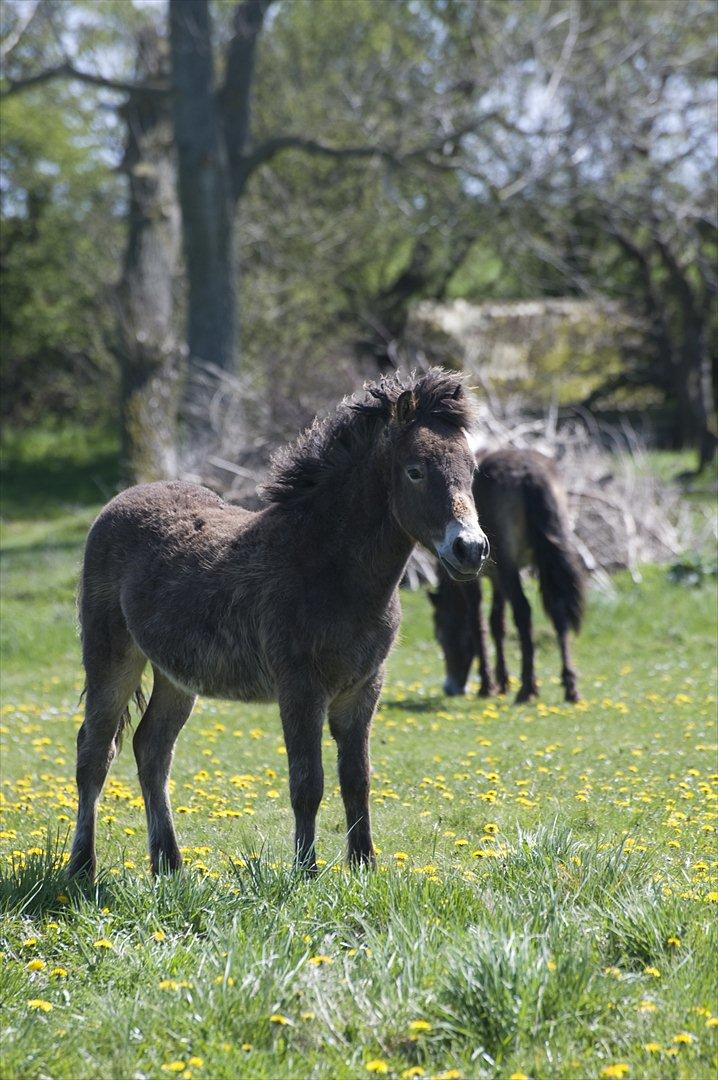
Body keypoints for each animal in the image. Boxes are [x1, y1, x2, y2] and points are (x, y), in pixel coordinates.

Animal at [68, 369, 488, 876]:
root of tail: (118, 503)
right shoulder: (300, 688)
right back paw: (82, 867)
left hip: (175, 675)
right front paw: (305, 870)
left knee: (152, 749)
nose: (470, 549)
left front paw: (363, 864)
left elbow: (357, 780)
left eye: (473, 471)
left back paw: (169, 864)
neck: (328, 566)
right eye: (415, 471)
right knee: (94, 752)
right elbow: (308, 782)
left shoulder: (363, 689)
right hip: (111, 656)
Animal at [425, 444, 583, 699]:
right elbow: (497, 623)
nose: (450, 688)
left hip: (511, 565)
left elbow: (478, 622)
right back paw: (570, 685)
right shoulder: (497, 578)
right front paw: (502, 681)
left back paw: (527, 687)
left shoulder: (476, 580)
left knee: (523, 611)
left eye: (441, 634)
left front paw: (487, 685)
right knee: (559, 611)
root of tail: (529, 472)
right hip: (546, 558)